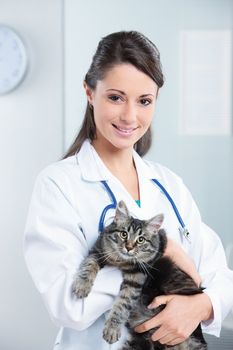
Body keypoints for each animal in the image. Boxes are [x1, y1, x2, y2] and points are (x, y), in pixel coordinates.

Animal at [72, 201, 207, 348]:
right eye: (124, 234)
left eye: (141, 240)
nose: (129, 247)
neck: (120, 261)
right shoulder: (96, 252)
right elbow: (88, 266)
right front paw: (82, 286)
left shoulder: (136, 277)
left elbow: (123, 304)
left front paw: (112, 328)